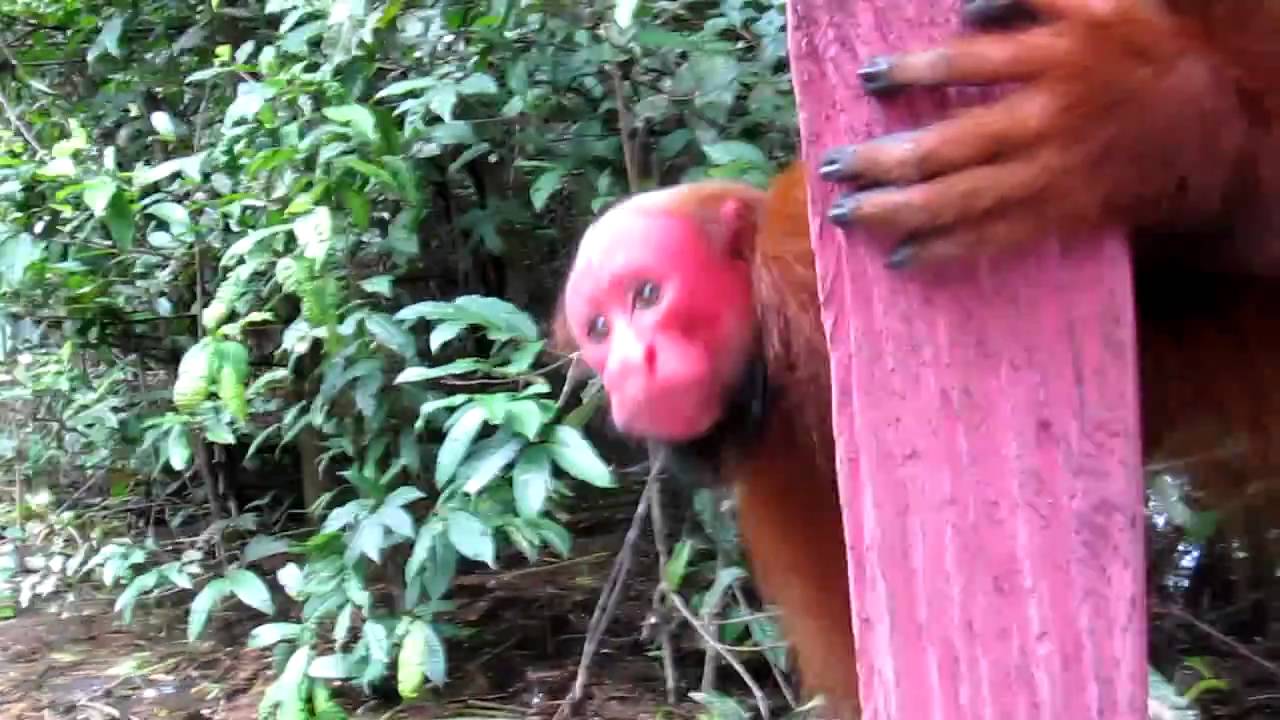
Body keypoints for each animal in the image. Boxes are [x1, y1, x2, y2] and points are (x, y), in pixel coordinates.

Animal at [553, 0, 1280, 716]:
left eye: (648, 295)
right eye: (599, 328)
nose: (629, 368)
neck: (772, 347)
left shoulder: (798, 257)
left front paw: (1135, 108)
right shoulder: (782, 476)